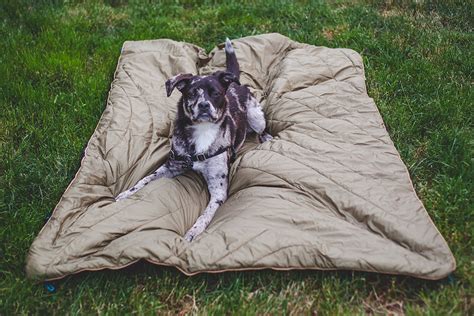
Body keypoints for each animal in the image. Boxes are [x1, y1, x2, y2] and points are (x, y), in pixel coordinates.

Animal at [114, 39, 270, 242]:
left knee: (262, 128)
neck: (202, 130)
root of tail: (234, 83)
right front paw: (126, 194)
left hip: (255, 116)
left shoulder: (219, 189)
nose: (203, 105)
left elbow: (206, 214)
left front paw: (193, 232)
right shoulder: (171, 166)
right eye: (192, 93)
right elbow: (144, 180)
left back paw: (266, 137)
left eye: (215, 93)